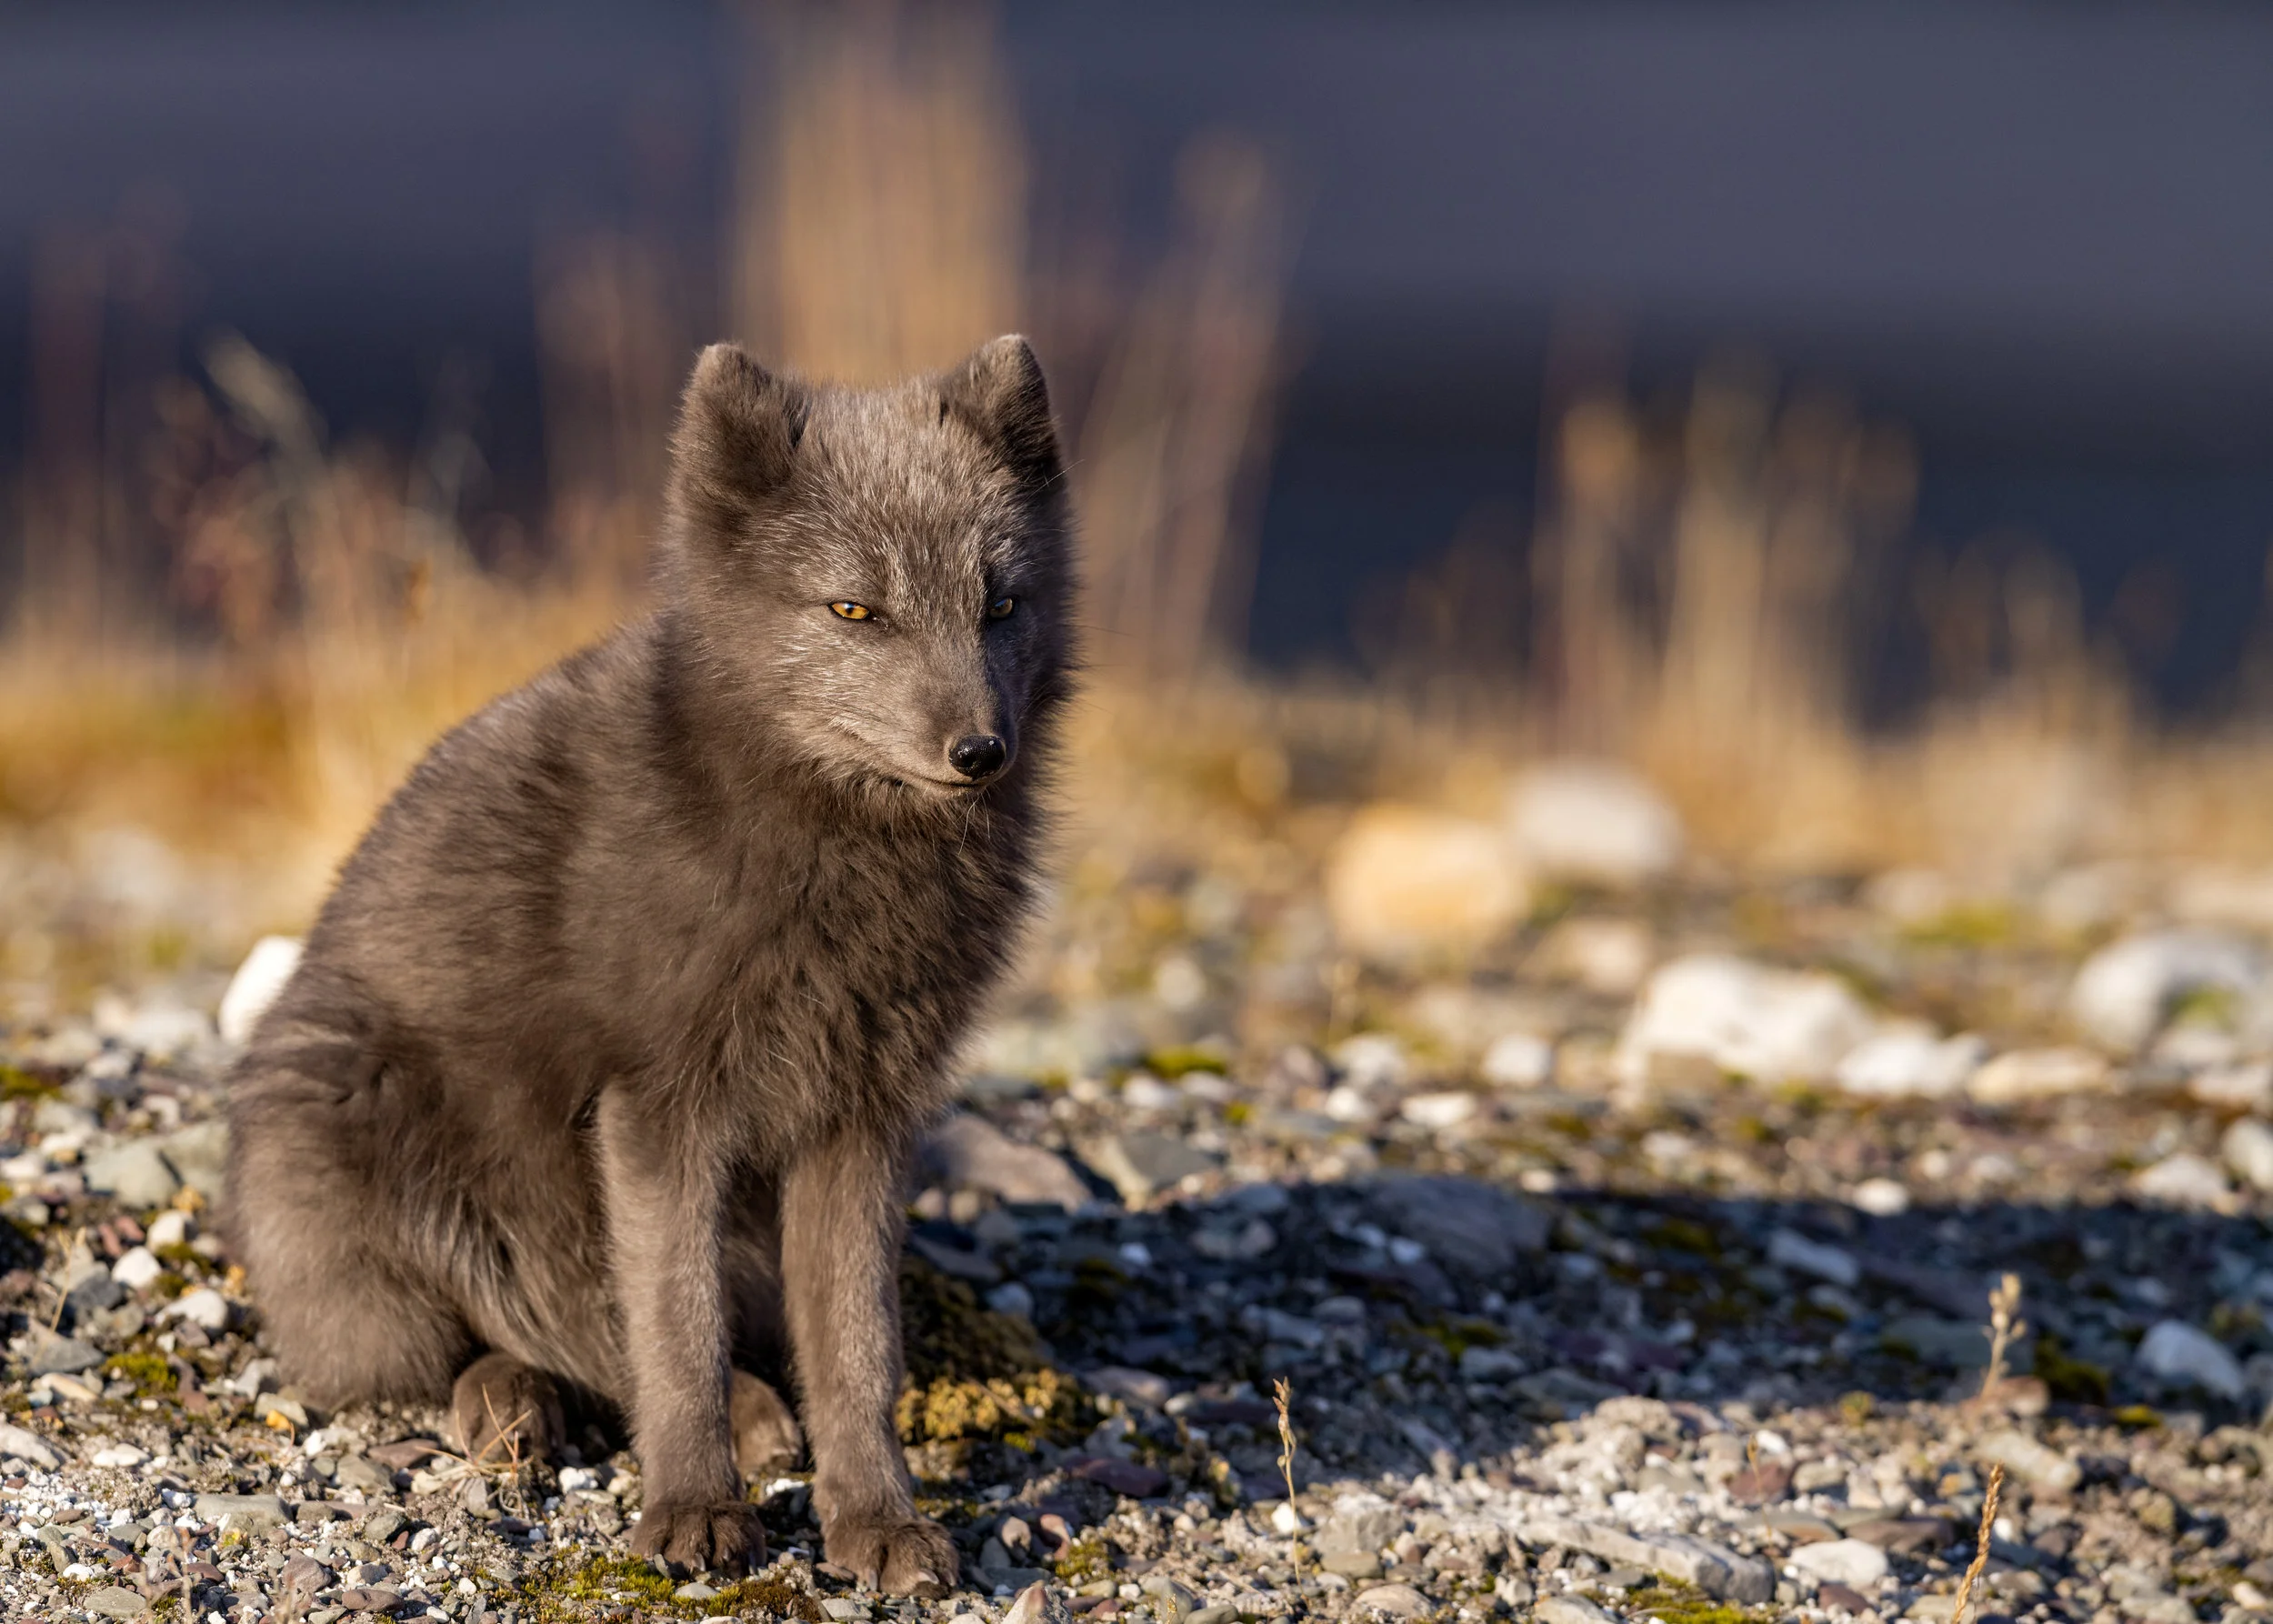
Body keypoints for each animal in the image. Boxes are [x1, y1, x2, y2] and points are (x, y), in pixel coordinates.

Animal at [222, 335, 1074, 1590]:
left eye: (1000, 603)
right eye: (855, 608)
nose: (980, 751)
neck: (833, 853)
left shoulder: (862, 1117)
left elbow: (855, 1347)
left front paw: (876, 1520)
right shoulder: (658, 1105)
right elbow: (672, 1326)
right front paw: (692, 1510)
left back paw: (755, 1411)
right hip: (360, 1137)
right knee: (456, 1354)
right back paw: (517, 1405)